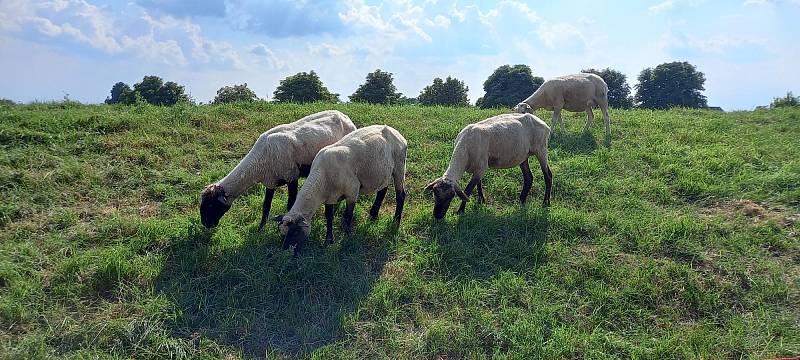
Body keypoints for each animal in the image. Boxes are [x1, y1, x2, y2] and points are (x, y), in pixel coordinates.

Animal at [198, 108, 354, 229]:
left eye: (211, 205)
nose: (206, 225)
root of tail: (343, 115)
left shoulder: (291, 175)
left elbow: (290, 204)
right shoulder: (270, 181)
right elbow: (266, 206)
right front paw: (261, 229)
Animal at [272, 125, 406, 255]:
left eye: (294, 232)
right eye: (282, 234)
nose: (286, 252)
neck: (322, 177)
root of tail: (394, 131)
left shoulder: (352, 190)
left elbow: (348, 216)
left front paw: (347, 237)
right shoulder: (330, 196)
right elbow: (329, 216)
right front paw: (329, 240)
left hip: (399, 166)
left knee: (401, 195)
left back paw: (396, 221)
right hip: (383, 171)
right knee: (383, 189)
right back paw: (373, 215)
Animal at [424, 113, 552, 219]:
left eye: (451, 196)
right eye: (435, 194)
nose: (437, 216)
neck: (464, 149)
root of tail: (545, 124)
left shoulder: (481, 167)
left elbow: (468, 189)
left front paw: (461, 211)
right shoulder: (478, 167)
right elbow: (478, 184)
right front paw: (481, 200)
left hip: (541, 149)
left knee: (548, 176)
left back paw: (546, 203)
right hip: (523, 155)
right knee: (528, 177)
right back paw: (522, 200)